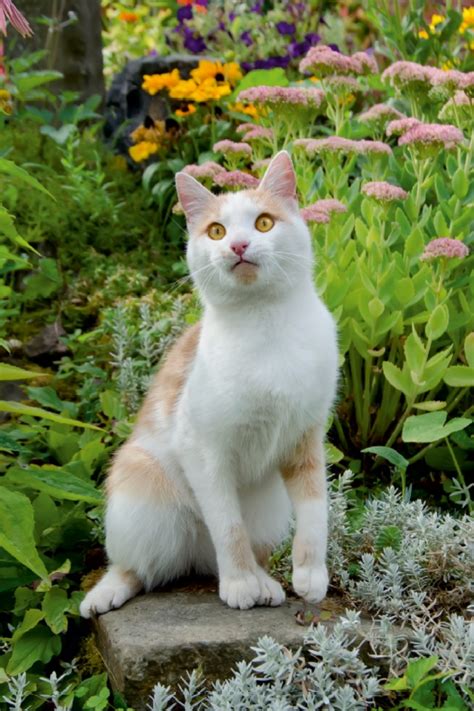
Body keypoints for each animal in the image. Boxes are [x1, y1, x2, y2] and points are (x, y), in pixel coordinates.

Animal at [82, 152, 340, 616]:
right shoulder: (203, 452)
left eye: (263, 223)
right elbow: (227, 525)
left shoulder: (306, 439)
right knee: (138, 566)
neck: (265, 324)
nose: (237, 246)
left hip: (270, 504)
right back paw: (109, 592)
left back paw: (265, 582)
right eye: (217, 231)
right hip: (141, 491)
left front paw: (310, 573)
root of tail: (195, 560)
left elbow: (316, 513)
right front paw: (238, 583)